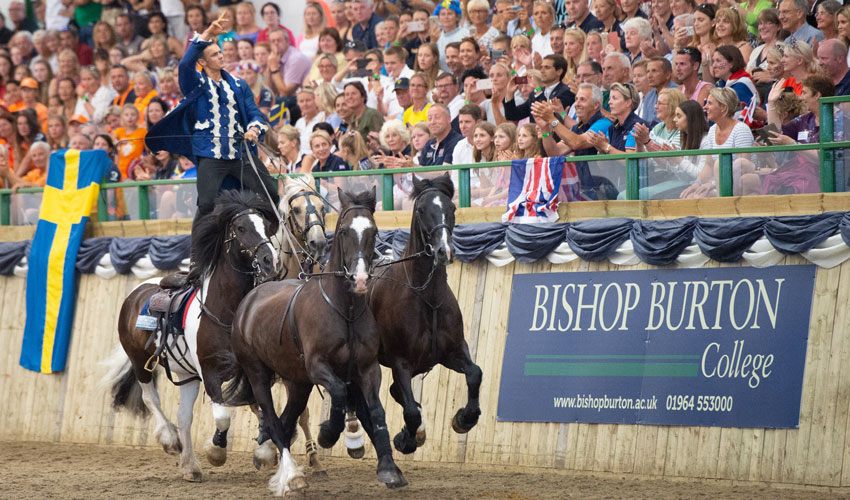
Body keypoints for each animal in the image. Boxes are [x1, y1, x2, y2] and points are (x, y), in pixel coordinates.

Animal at [222, 188, 408, 496]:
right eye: (344, 231)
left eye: (373, 230)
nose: (359, 279)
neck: (344, 310)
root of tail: (249, 301)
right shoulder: (318, 367)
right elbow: (339, 394)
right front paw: (328, 433)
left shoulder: (367, 368)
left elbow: (376, 412)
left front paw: (389, 469)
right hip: (258, 373)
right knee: (272, 419)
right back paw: (291, 477)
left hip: (297, 382)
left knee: (287, 420)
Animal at [368, 174, 480, 456]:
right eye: (420, 210)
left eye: (452, 208)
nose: (443, 251)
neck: (428, 299)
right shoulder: (400, 362)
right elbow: (409, 410)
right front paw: (407, 438)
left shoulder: (451, 351)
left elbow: (475, 374)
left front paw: (465, 418)